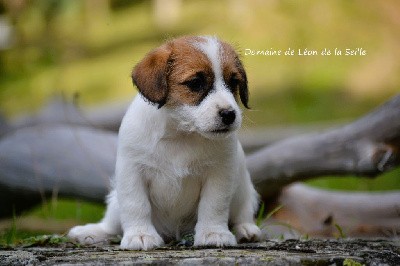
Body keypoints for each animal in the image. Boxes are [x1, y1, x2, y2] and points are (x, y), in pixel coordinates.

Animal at [68, 35, 262, 249]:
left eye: (234, 82)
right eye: (195, 83)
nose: (229, 114)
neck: (181, 134)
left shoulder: (220, 173)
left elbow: (214, 205)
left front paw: (214, 233)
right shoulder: (132, 170)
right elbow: (136, 205)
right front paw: (140, 234)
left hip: (243, 187)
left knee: (243, 212)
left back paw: (246, 229)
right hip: (115, 202)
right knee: (112, 224)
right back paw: (92, 232)